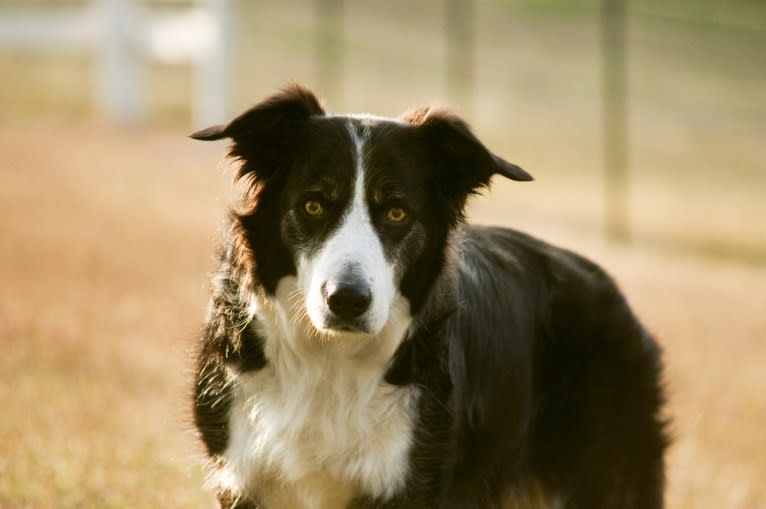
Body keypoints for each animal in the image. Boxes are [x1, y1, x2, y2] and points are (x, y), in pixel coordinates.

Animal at [189, 85, 668, 506]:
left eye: (397, 212)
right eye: (313, 205)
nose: (347, 300)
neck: (329, 362)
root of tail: (609, 288)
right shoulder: (242, 478)